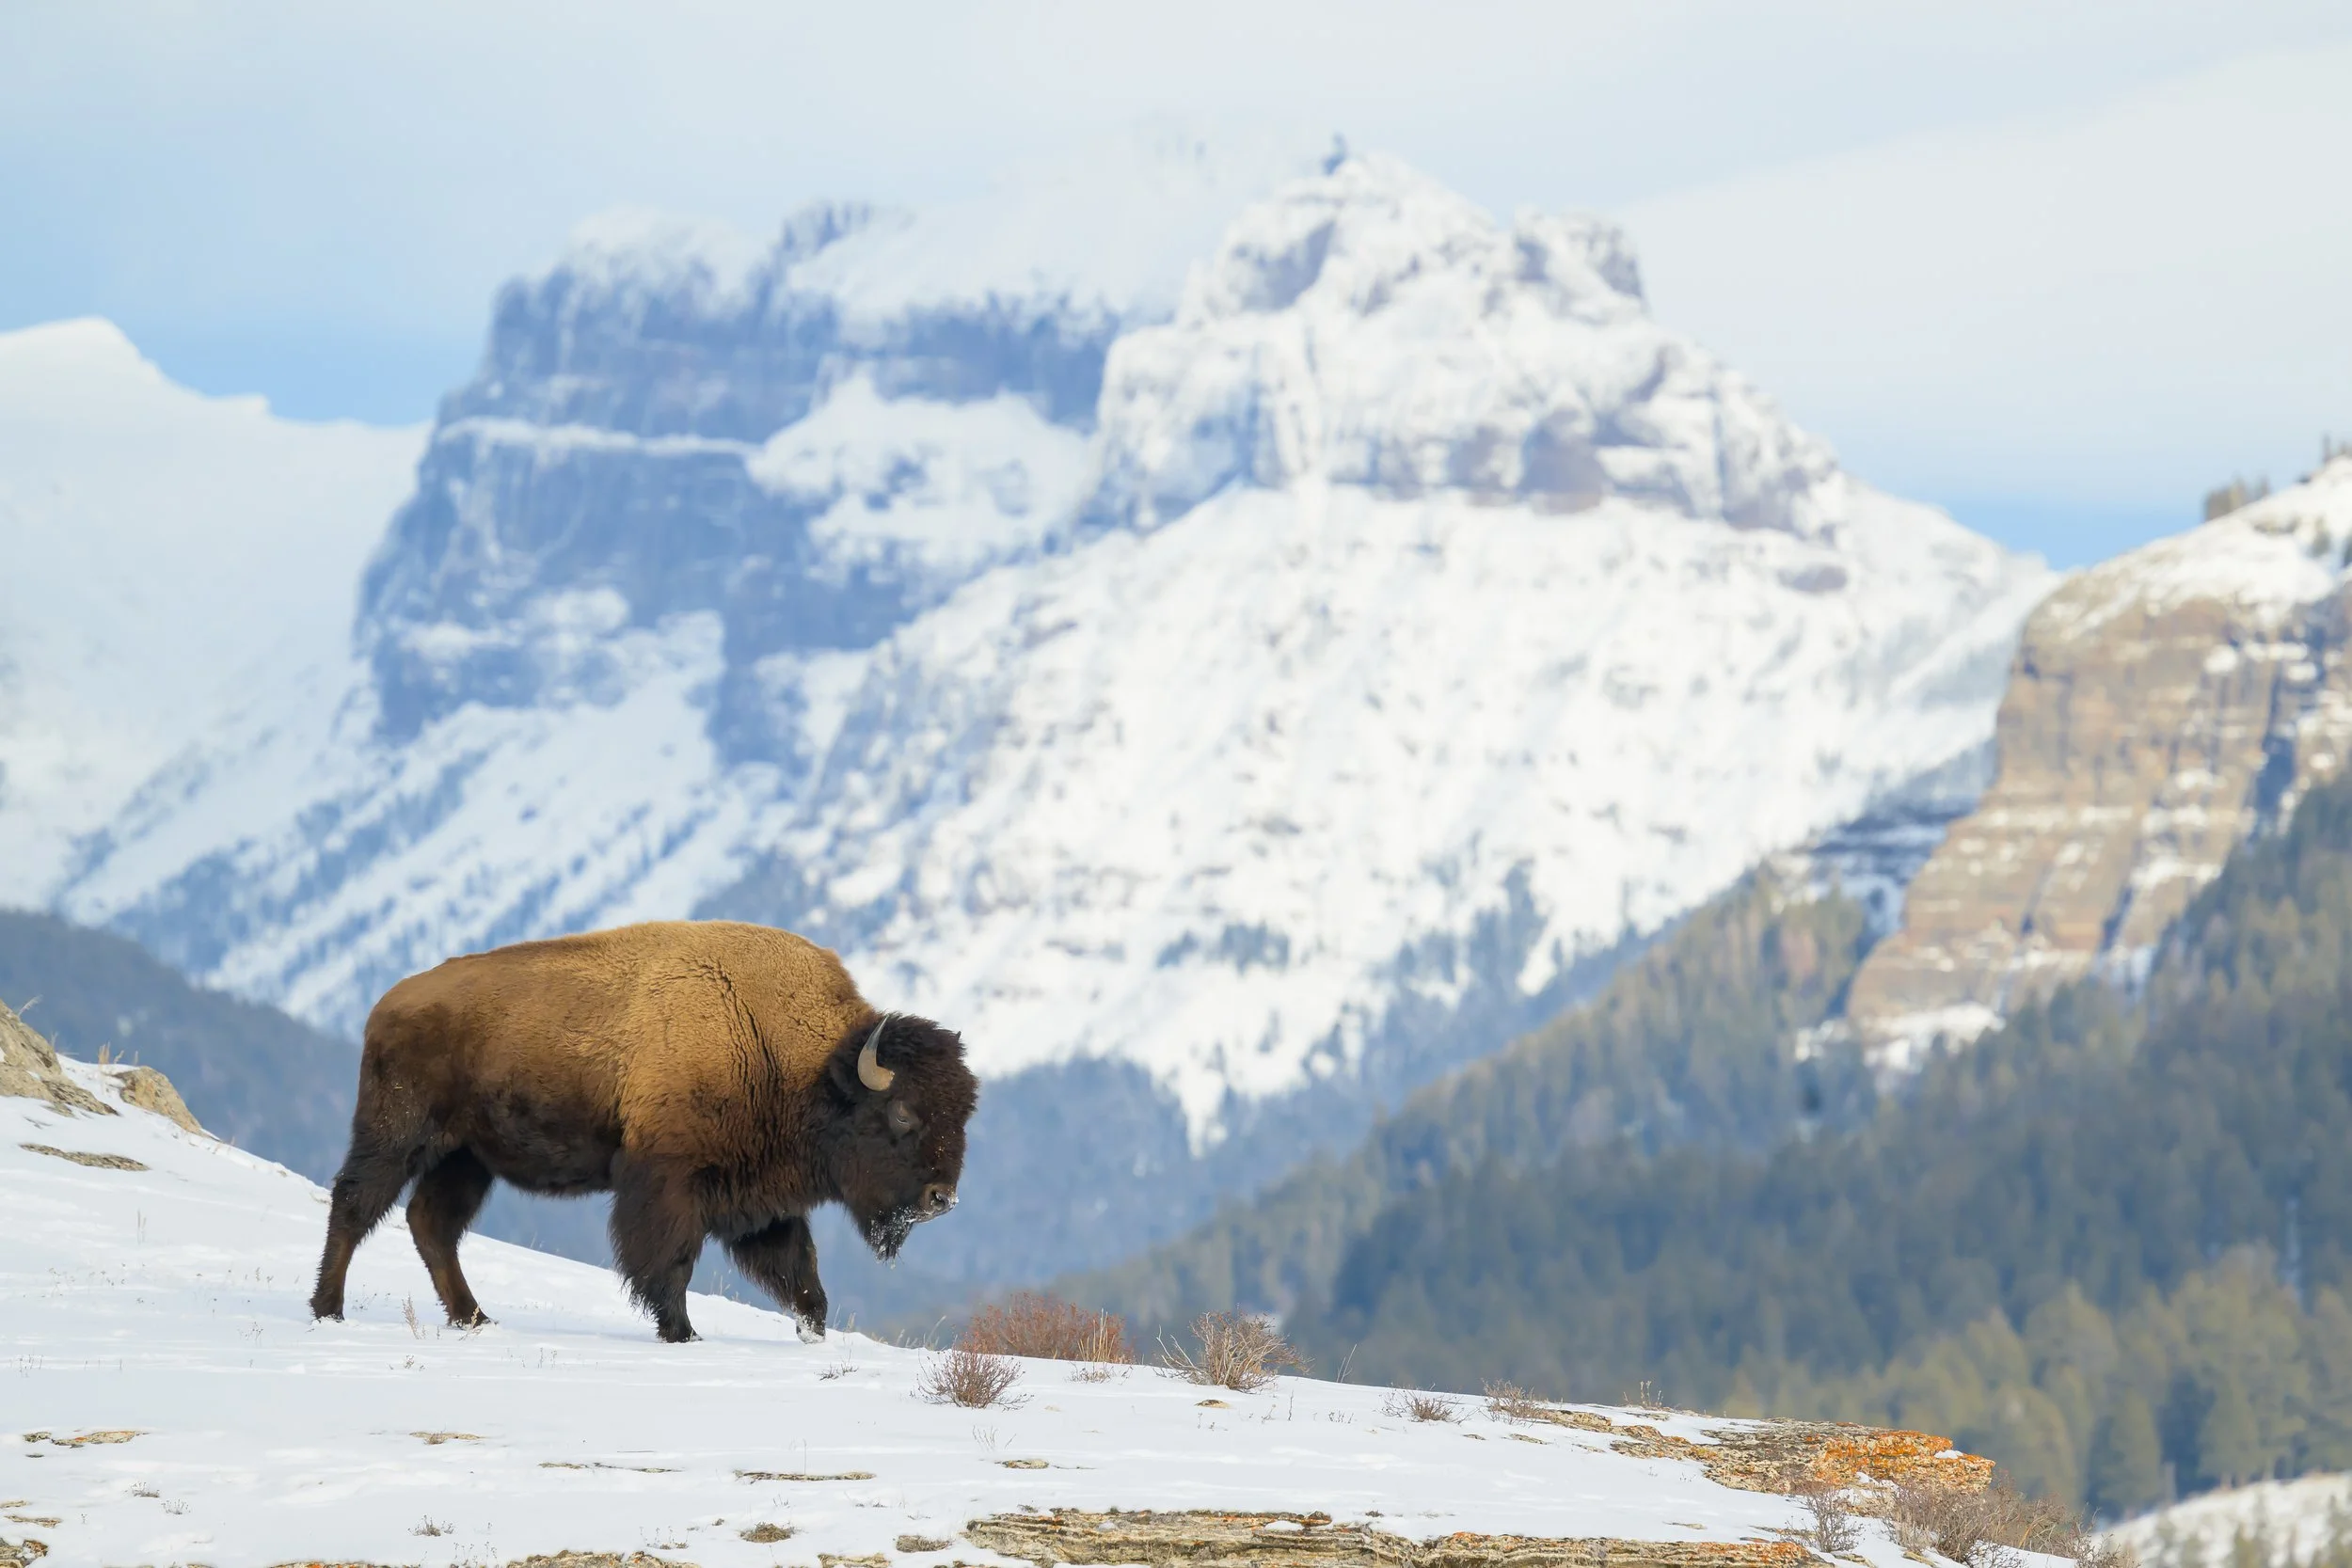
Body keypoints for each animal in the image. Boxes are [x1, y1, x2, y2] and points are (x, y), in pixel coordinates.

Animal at [307, 920, 978, 1342]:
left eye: (964, 1112)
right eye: (903, 1113)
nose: (942, 1199)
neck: (796, 1058)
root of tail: (387, 1004)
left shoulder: (762, 1202)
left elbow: (802, 1275)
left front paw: (813, 1334)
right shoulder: (668, 1184)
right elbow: (670, 1263)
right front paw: (681, 1333)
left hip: (468, 1158)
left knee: (432, 1223)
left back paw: (474, 1319)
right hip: (399, 1135)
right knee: (356, 1203)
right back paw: (328, 1311)